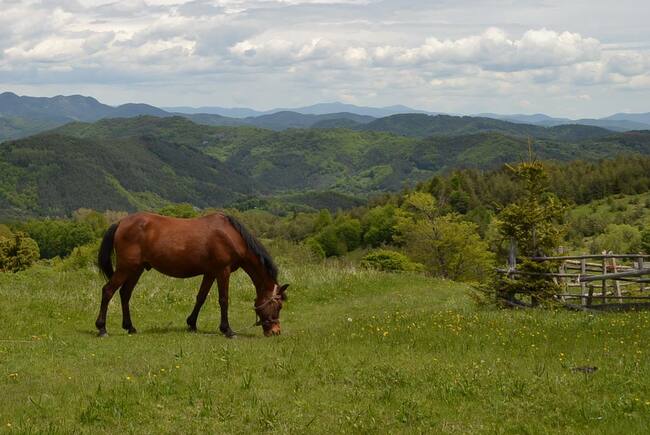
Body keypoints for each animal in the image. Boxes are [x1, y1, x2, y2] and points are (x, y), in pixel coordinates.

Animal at [95, 213, 288, 338]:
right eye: (278, 306)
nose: (276, 332)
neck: (231, 236)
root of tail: (121, 222)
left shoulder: (210, 273)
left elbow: (201, 298)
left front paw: (192, 324)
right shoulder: (222, 272)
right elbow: (223, 300)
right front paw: (227, 330)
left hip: (136, 269)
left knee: (125, 293)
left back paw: (130, 327)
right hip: (126, 268)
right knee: (108, 291)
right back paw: (102, 328)